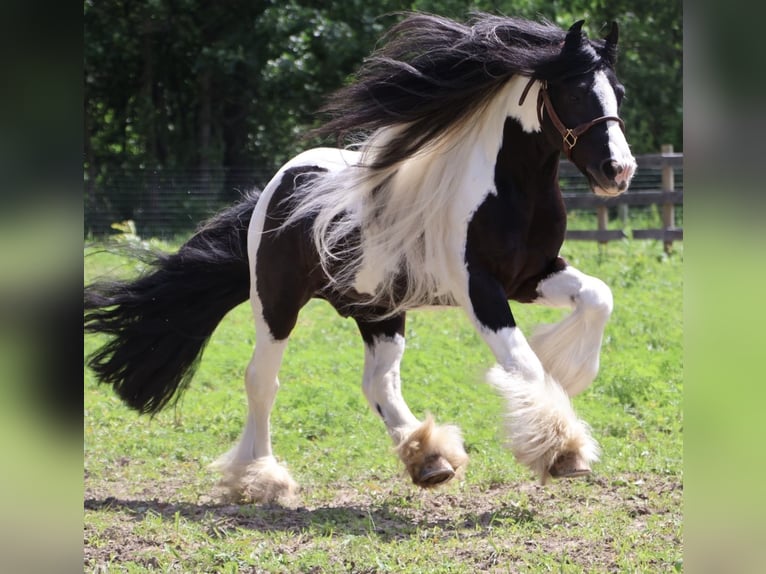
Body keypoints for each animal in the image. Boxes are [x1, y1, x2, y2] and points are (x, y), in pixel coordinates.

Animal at [84, 13, 636, 503]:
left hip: (379, 309)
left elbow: (599, 297)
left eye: (619, 92)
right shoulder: (479, 288)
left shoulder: (533, 275)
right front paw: (563, 450)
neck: (510, 190)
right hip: (277, 303)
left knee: (379, 382)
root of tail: (279, 183)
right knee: (262, 381)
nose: (618, 170)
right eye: (574, 92)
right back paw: (262, 479)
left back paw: (429, 459)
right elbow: (521, 362)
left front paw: (569, 373)